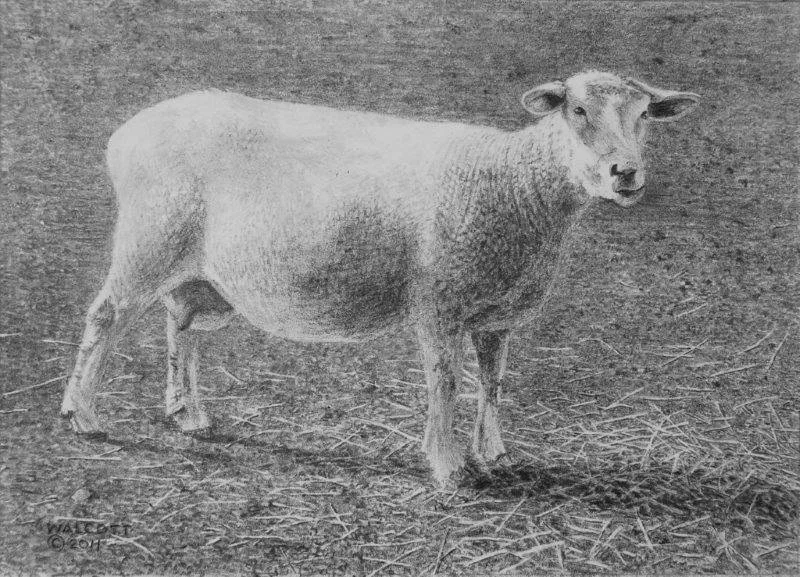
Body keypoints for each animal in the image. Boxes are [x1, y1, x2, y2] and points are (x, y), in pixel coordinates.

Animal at [61, 71, 699, 484]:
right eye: (578, 111)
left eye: (644, 116)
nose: (625, 173)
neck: (514, 181)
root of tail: (126, 133)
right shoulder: (440, 303)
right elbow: (446, 381)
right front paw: (445, 464)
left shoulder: (497, 316)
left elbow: (493, 383)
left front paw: (493, 453)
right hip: (148, 241)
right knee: (105, 317)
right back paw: (82, 415)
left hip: (200, 273)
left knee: (182, 326)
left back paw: (185, 414)